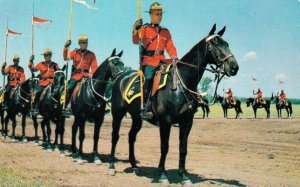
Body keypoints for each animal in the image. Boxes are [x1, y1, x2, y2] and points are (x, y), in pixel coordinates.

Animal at [108, 24, 239, 186]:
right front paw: (162, 175)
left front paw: (183, 176)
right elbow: (165, 147)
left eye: (227, 44)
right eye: (215, 43)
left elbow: (183, 148)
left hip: (137, 118)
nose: (234, 67)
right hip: (117, 114)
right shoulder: (165, 122)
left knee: (131, 136)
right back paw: (111, 166)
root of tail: (121, 77)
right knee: (115, 136)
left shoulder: (187, 122)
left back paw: (134, 165)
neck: (181, 83)